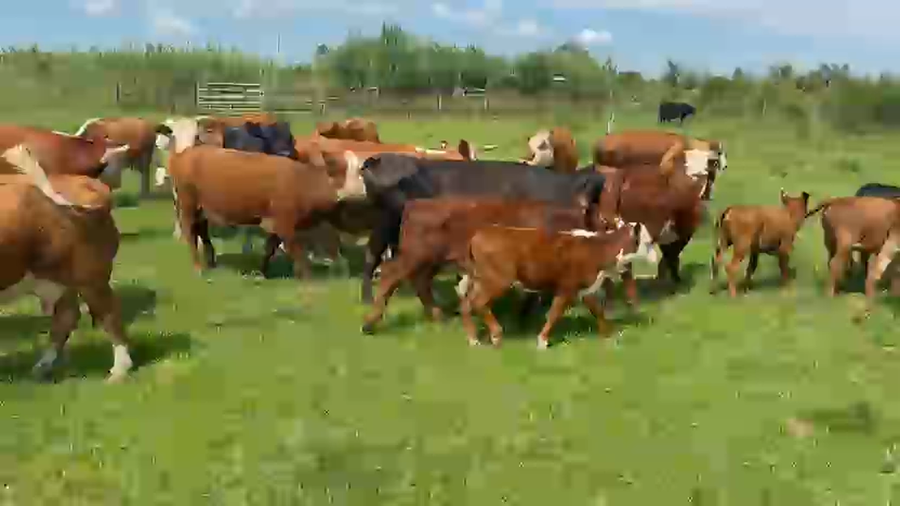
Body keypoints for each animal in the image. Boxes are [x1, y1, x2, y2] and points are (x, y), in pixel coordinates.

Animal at [0, 144, 134, 382]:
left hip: (90, 277)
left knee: (108, 313)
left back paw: (119, 370)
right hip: (58, 279)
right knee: (67, 316)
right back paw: (43, 366)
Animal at [360, 197, 630, 334]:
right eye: (608, 222)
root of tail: (414, 204)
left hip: (429, 261)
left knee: (420, 283)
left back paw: (440, 318)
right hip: (416, 255)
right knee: (391, 275)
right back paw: (369, 323)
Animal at [458, 218, 657, 349]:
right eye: (648, 243)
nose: (656, 258)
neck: (598, 248)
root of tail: (482, 233)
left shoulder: (584, 288)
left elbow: (597, 310)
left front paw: (609, 334)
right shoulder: (567, 288)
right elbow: (554, 313)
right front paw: (542, 340)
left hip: (479, 280)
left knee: (466, 304)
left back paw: (473, 339)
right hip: (497, 280)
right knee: (479, 304)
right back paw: (496, 336)